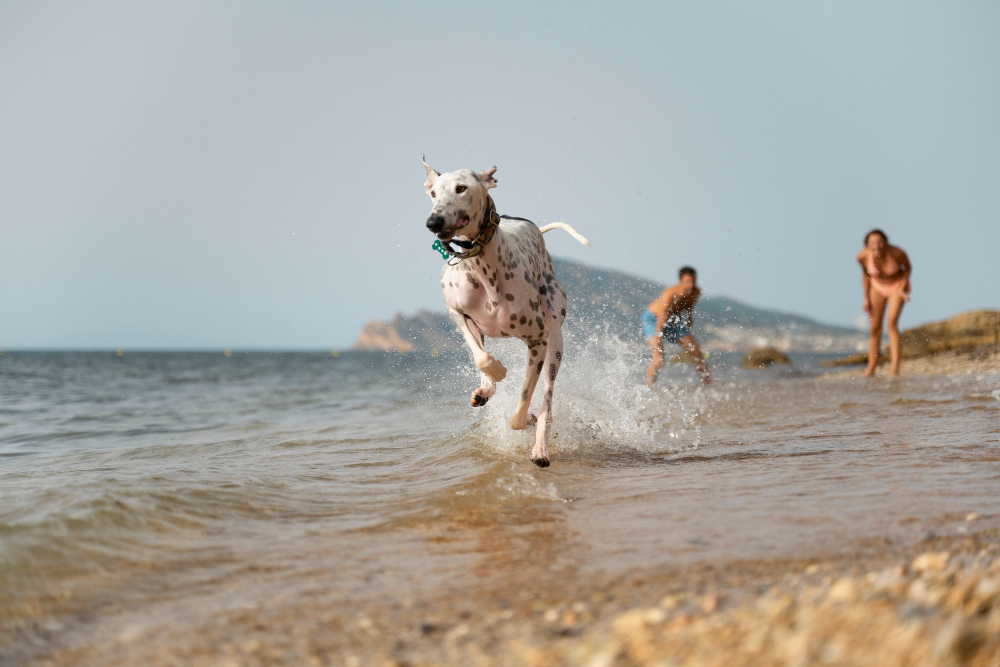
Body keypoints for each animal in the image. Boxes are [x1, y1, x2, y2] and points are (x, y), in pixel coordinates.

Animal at [420, 159, 588, 468]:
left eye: (461, 188)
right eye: (434, 193)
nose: (433, 222)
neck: (482, 266)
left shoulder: (538, 341)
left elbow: (520, 411)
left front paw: (528, 417)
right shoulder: (457, 313)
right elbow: (482, 358)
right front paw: (496, 372)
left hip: (555, 342)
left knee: (547, 401)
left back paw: (541, 446)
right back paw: (485, 389)